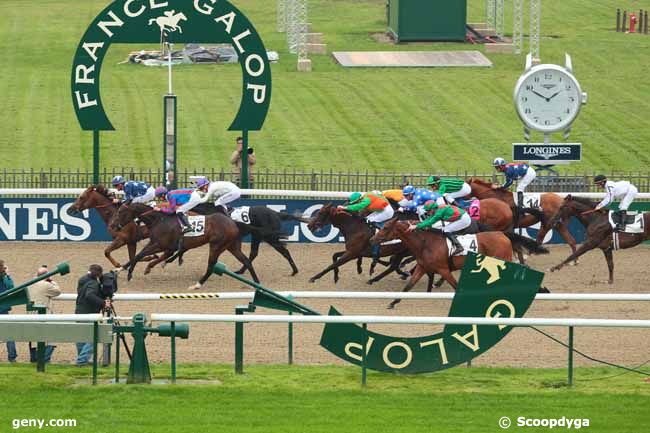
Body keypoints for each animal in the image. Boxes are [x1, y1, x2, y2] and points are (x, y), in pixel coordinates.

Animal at [112, 202, 260, 290]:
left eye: (121, 212)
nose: (114, 226)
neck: (159, 220)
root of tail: (233, 222)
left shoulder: (161, 245)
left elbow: (139, 255)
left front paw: (130, 274)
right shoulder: (156, 243)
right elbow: (139, 255)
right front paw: (120, 269)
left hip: (216, 245)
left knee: (211, 265)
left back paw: (197, 285)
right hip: (231, 246)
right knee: (246, 261)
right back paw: (257, 283)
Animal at [370, 219, 548, 308]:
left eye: (386, 227)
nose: (372, 239)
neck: (425, 243)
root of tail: (502, 234)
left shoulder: (443, 269)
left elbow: (456, 287)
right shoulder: (422, 267)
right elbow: (408, 286)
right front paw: (393, 303)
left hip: (502, 258)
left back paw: (541, 289)